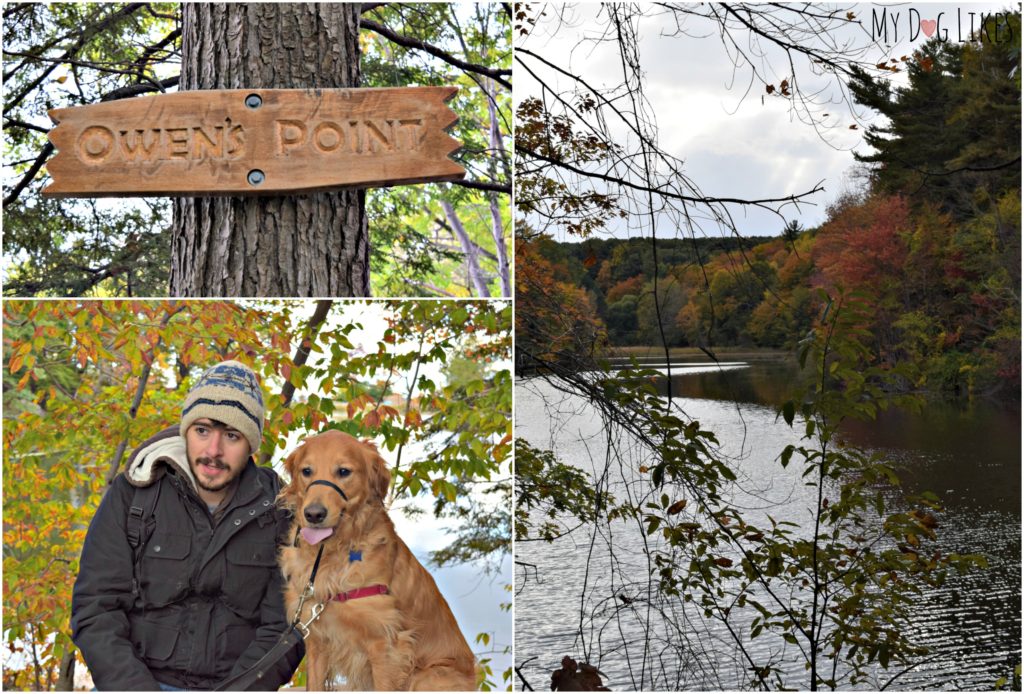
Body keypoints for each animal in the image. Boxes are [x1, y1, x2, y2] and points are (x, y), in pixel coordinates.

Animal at [276, 431, 475, 691]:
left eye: (344, 471)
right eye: (306, 471)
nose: (314, 514)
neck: (331, 554)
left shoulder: (385, 644)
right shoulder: (317, 640)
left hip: (427, 676)